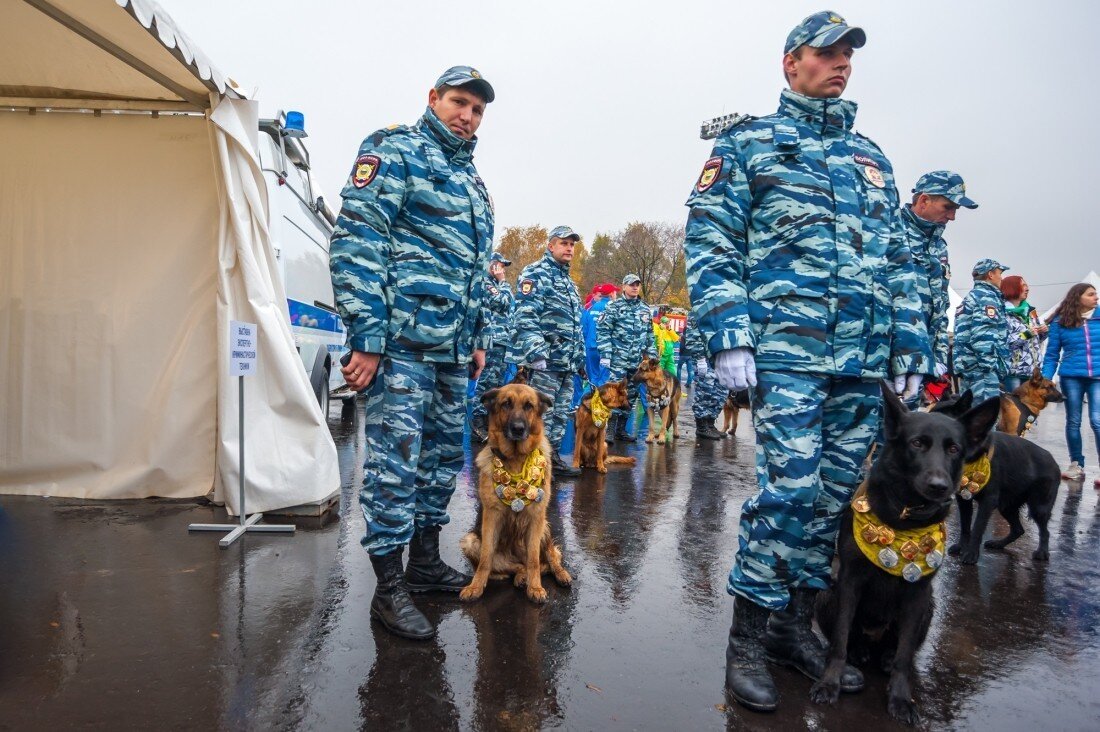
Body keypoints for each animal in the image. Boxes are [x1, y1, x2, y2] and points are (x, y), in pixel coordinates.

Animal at [457, 378, 572, 603]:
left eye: (529, 406)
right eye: (506, 404)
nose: (518, 429)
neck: (517, 461)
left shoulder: (536, 518)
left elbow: (535, 560)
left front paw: (535, 588)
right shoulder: (491, 518)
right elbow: (485, 560)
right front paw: (476, 586)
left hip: (545, 528)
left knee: (549, 559)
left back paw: (560, 574)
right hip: (471, 541)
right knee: (518, 566)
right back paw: (519, 577)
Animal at [814, 378, 1003, 722]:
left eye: (953, 449)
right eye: (917, 444)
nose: (939, 486)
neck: (902, 516)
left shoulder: (917, 595)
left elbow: (904, 656)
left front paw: (901, 699)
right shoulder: (849, 582)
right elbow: (840, 640)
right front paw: (830, 683)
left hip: (929, 605)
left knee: (899, 647)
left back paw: (886, 657)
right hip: (827, 592)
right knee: (852, 636)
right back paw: (860, 651)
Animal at [932, 391, 1060, 561]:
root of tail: (1054, 462)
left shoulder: (988, 502)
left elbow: (978, 527)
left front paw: (971, 553)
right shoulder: (964, 500)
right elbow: (965, 527)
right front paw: (961, 547)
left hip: (1038, 508)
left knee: (1045, 531)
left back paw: (1042, 552)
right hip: (1006, 506)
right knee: (1018, 529)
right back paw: (998, 544)